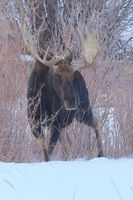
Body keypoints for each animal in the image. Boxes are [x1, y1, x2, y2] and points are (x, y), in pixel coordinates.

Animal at [21, 25, 103, 161]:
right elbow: (45, 149)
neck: (45, 102)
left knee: (96, 122)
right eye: (56, 76)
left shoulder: (57, 123)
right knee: (67, 139)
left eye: (72, 77)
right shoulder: (33, 121)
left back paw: (101, 154)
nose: (72, 102)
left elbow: (50, 150)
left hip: (83, 111)